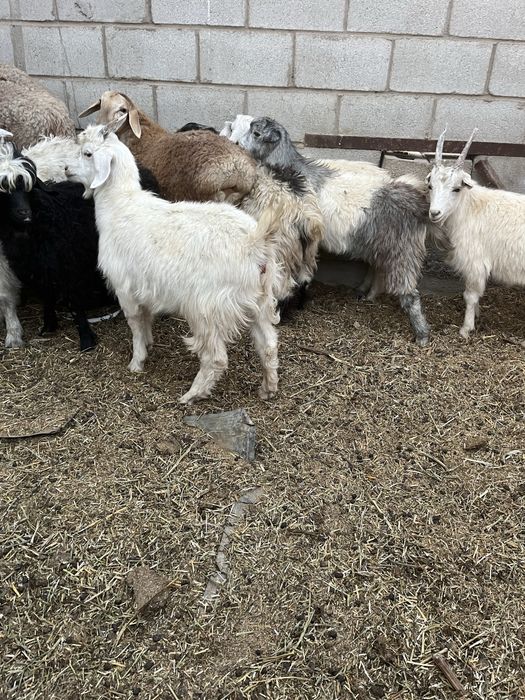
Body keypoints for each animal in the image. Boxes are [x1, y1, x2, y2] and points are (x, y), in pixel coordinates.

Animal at [67, 119, 281, 404]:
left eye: (87, 153)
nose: (66, 169)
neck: (121, 206)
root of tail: (255, 242)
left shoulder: (124, 287)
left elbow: (135, 323)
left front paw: (137, 361)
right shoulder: (145, 286)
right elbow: (146, 318)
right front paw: (148, 344)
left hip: (206, 307)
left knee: (216, 358)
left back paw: (192, 395)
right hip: (260, 300)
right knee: (268, 345)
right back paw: (268, 388)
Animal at [238, 117, 431, 346]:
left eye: (256, 134)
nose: (238, 144)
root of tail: (417, 202)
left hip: (404, 252)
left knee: (410, 294)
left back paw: (421, 334)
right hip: (382, 245)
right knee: (377, 268)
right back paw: (366, 294)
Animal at [428, 127, 525, 339]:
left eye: (456, 188)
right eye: (430, 186)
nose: (434, 213)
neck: (470, 208)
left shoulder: (475, 261)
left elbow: (470, 296)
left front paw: (466, 328)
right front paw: (478, 315)